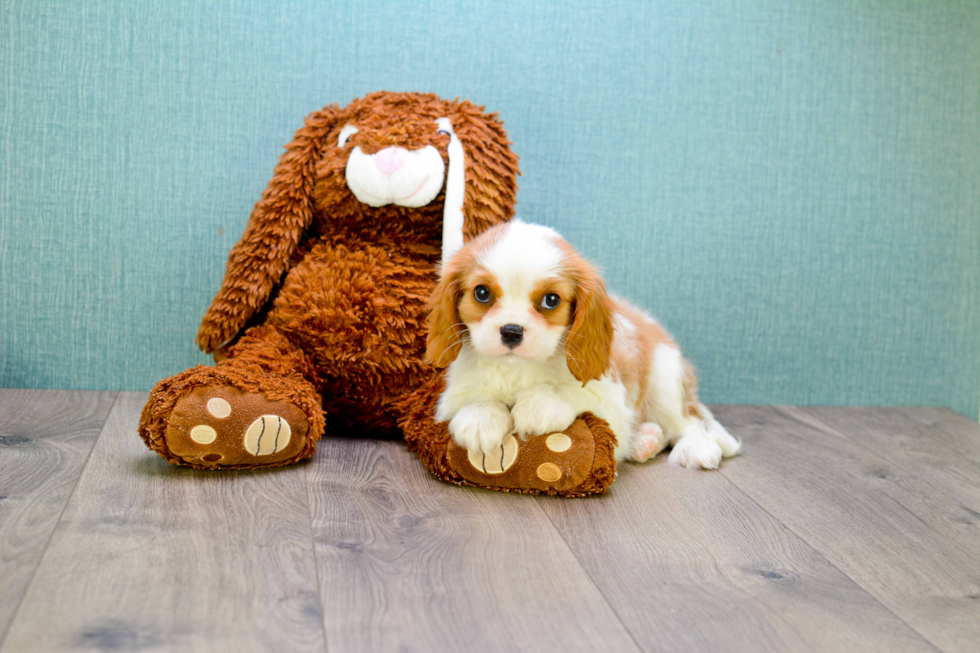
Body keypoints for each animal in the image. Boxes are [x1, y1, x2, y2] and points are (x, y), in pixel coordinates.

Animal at [424, 219, 740, 468]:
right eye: (481, 293)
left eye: (551, 300)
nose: (511, 331)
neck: (520, 370)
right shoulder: (453, 396)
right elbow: (476, 398)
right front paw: (481, 416)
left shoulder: (612, 402)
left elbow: (573, 392)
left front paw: (541, 403)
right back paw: (645, 441)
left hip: (664, 376)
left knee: (688, 421)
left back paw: (694, 447)